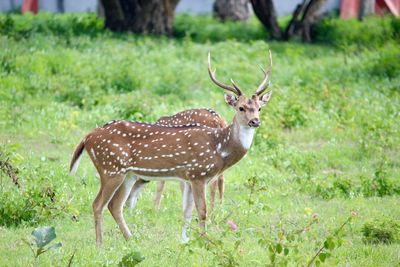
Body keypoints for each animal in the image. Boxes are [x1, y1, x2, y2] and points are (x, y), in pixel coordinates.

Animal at [70, 51, 274, 246]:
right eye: (241, 108)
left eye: (259, 108)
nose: (255, 121)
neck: (219, 149)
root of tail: (87, 137)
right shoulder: (198, 174)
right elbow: (202, 211)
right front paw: (205, 241)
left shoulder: (189, 178)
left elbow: (187, 211)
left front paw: (184, 240)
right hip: (110, 168)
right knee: (98, 204)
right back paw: (100, 244)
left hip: (127, 173)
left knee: (115, 205)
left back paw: (131, 240)